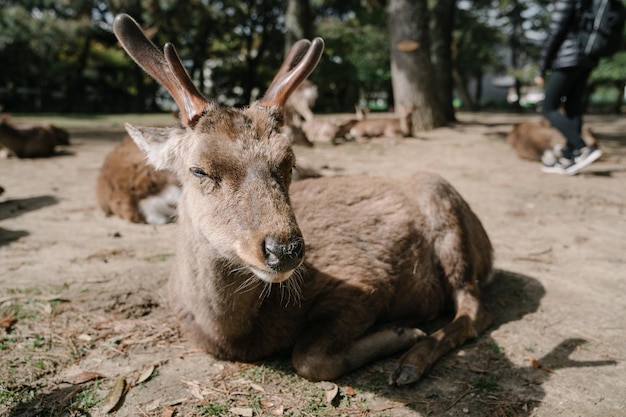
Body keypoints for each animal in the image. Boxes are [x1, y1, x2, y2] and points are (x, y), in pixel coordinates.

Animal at [112, 14, 492, 386]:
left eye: (289, 162)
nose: (284, 249)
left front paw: (402, 332)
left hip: (447, 215)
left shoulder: (365, 282)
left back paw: (410, 363)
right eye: (199, 170)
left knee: (472, 307)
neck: (231, 337)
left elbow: (309, 359)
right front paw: (401, 331)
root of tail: (488, 248)